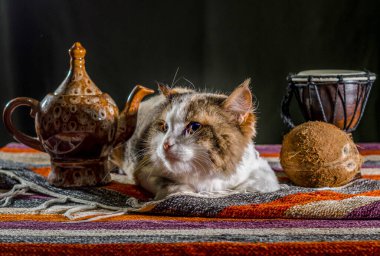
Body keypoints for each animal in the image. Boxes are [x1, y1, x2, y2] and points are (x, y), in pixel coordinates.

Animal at [113, 79, 280, 199]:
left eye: (194, 127)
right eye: (164, 127)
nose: (165, 144)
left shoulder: (261, 168)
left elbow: (255, 184)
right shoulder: (143, 169)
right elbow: (169, 185)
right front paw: (184, 190)